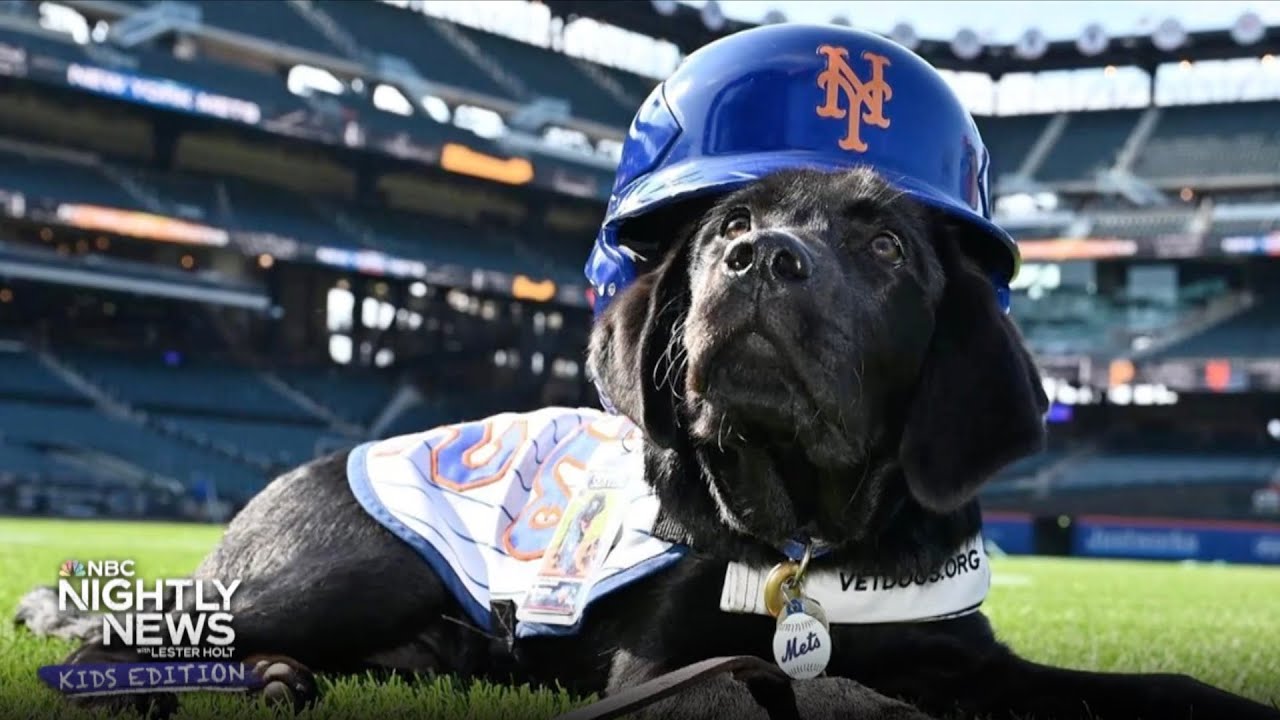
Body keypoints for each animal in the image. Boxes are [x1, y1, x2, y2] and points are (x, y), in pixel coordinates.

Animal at [20, 167, 1280, 717]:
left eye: (883, 247)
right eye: (729, 224)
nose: (759, 257)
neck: (807, 539)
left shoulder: (968, 657)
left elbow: (1153, 685)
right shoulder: (666, 664)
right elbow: (821, 692)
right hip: (352, 566)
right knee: (134, 636)